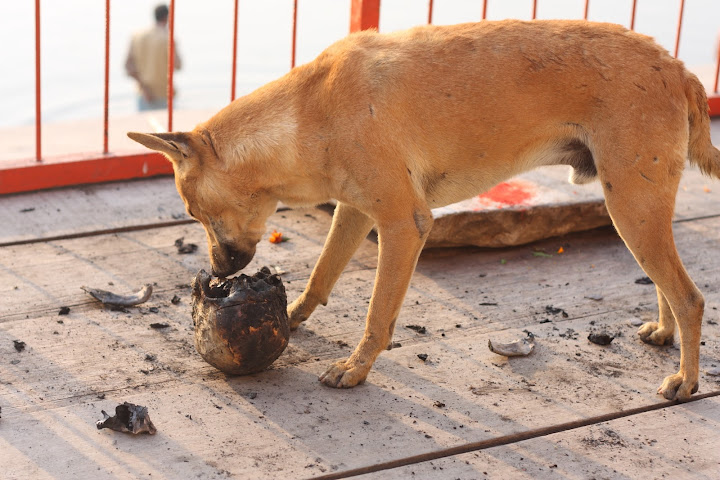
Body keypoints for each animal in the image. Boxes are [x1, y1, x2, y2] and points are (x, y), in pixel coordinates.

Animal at [129, 20, 720, 401]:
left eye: (195, 211)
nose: (217, 274)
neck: (306, 112)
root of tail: (678, 69)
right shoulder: (355, 212)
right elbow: (322, 275)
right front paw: (292, 317)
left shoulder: (402, 225)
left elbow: (376, 314)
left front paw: (355, 369)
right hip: (639, 210)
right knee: (668, 286)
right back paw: (664, 335)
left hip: (631, 208)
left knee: (690, 297)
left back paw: (687, 380)